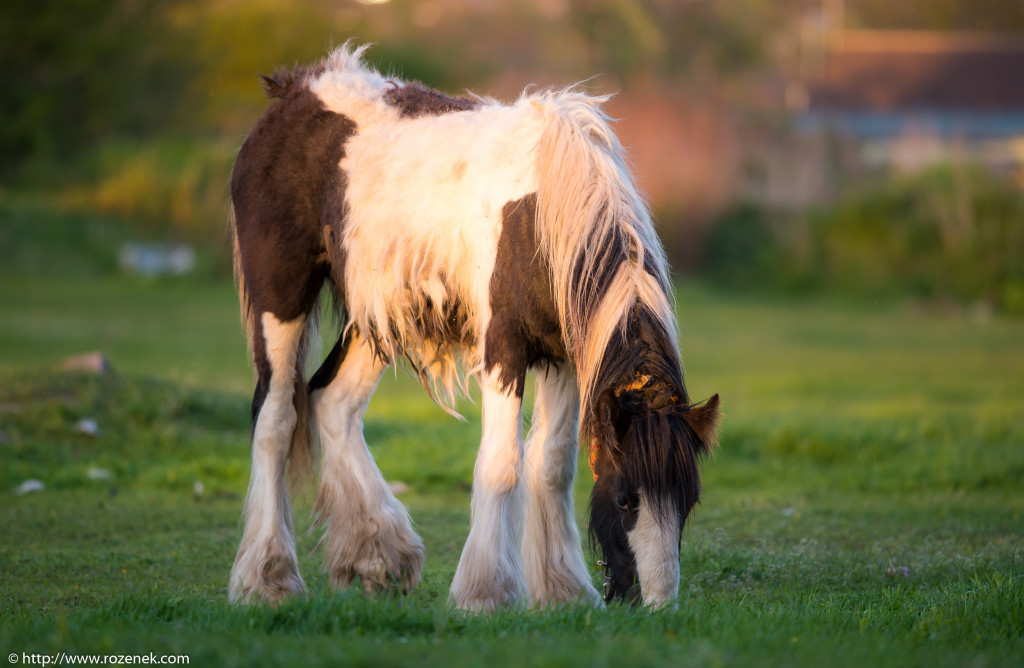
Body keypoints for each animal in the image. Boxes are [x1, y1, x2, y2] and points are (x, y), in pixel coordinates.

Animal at [226, 43, 720, 610]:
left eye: (689, 500)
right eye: (623, 499)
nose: (656, 604)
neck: (544, 209)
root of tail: (293, 92)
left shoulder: (562, 355)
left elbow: (552, 465)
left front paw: (563, 592)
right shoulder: (504, 347)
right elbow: (502, 464)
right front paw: (484, 594)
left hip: (380, 318)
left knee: (332, 401)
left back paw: (379, 557)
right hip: (281, 299)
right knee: (276, 417)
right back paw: (268, 578)